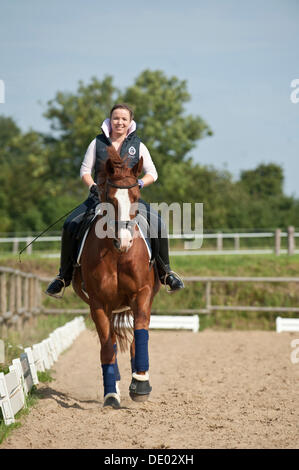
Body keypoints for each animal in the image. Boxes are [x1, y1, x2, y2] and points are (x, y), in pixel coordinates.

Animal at [73, 147, 161, 408]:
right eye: (110, 199)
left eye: (135, 196)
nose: (124, 242)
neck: (117, 254)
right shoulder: (98, 303)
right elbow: (106, 347)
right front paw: (111, 394)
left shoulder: (142, 294)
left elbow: (140, 333)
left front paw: (141, 384)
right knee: (110, 341)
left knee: (133, 339)